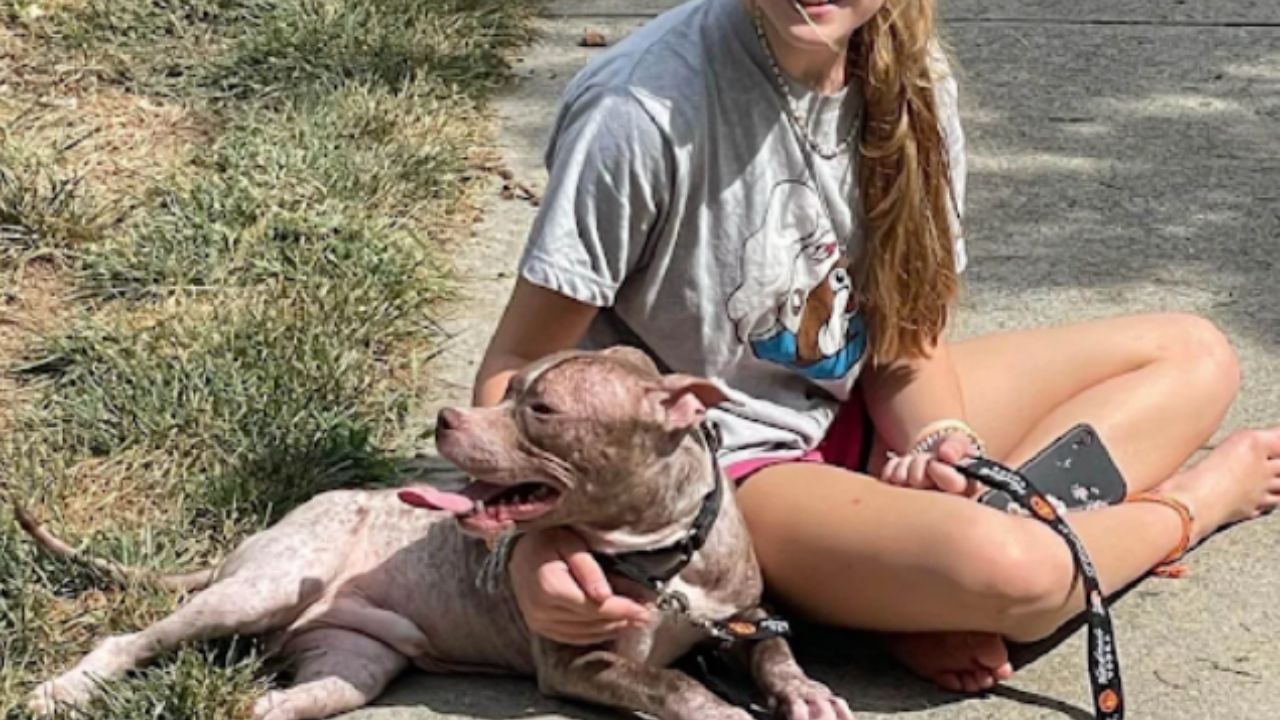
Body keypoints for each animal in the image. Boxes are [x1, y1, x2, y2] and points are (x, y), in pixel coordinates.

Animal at [22, 345, 849, 712]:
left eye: (540, 408)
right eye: (511, 389)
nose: (447, 418)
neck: (664, 556)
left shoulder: (744, 618)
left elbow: (774, 654)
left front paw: (806, 692)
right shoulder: (573, 664)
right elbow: (672, 681)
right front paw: (717, 706)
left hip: (351, 667)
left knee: (272, 706)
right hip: (261, 589)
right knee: (130, 640)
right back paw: (62, 689)